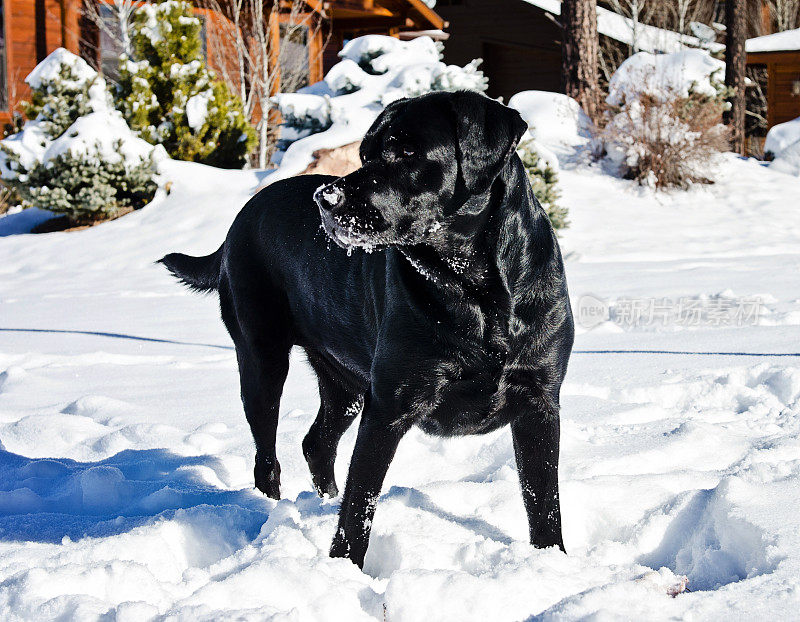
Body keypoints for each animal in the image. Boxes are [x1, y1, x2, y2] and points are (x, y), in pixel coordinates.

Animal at [161, 89, 576, 572]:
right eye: (364, 155)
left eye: (408, 150)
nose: (325, 199)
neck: (476, 294)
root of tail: (238, 221)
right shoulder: (389, 405)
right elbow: (360, 506)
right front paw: (343, 571)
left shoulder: (539, 403)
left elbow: (544, 502)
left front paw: (554, 563)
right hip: (263, 362)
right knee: (268, 457)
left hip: (345, 385)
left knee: (316, 442)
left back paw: (321, 502)